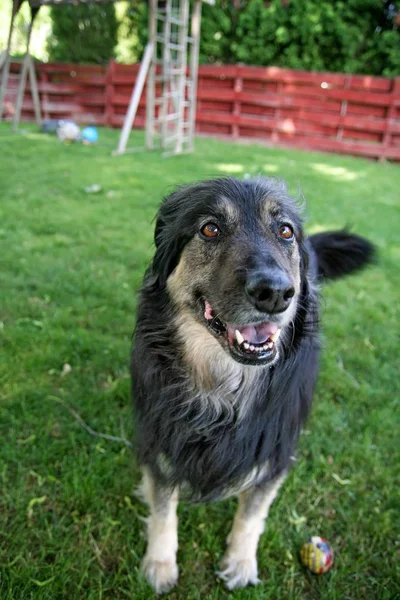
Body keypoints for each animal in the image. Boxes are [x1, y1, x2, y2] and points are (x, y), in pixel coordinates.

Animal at [132, 176, 376, 592]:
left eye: (285, 231)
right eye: (210, 229)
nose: (275, 293)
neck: (225, 391)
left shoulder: (275, 448)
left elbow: (251, 514)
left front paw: (240, 562)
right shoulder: (160, 440)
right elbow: (164, 510)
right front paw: (160, 564)